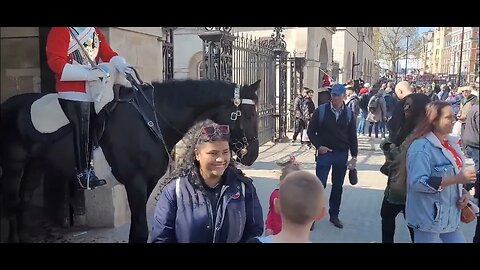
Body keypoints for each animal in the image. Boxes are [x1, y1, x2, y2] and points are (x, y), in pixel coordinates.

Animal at [1, 77, 260, 243]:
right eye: (247, 114)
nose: (252, 154)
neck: (151, 119)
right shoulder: (134, 183)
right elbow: (140, 231)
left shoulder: (148, 183)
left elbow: (138, 229)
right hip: (14, 165)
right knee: (12, 202)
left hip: (35, 165)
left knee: (23, 201)